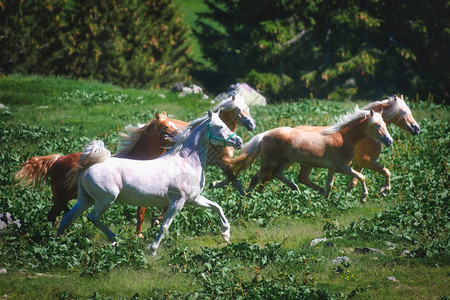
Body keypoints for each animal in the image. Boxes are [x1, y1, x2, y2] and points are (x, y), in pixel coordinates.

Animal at [14, 110, 179, 223]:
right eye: (165, 127)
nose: (180, 136)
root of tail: (58, 159)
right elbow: (141, 214)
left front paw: (155, 221)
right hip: (61, 197)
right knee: (52, 216)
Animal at [58, 110, 244, 255]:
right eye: (220, 126)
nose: (239, 142)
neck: (186, 162)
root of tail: (87, 167)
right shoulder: (177, 202)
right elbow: (165, 226)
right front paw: (152, 249)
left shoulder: (193, 199)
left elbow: (217, 207)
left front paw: (226, 234)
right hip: (106, 199)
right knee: (92, 217)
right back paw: (113, 239)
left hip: (86, 199)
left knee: (68, 217)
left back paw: (56, 243)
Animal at [230, 108, 392, 202]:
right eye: (377, 125)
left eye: (385, 124)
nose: (389, 141)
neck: (343, 138)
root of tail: (265, 135)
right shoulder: (342, 167)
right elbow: (361, 176)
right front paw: (365, 196)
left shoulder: (332, 168)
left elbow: (329, 184)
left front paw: (325, 200)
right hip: (269, 162)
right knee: (256, 178)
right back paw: (247, 199)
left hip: (286, 161)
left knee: (279, 174)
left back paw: (297, 190)